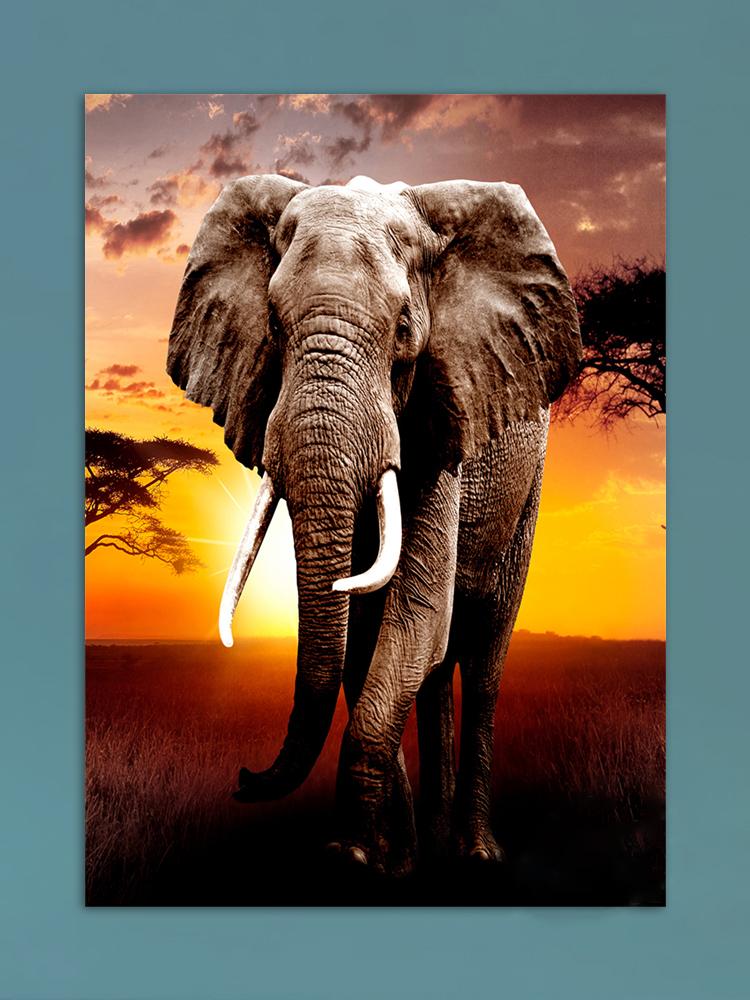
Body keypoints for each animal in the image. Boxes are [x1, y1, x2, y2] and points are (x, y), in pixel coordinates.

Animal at [167, 173, 581, 875]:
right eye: (272, 323)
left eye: (406, 328)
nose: (244, 778)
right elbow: (366, 639)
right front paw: (383, 859)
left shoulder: (441, 423)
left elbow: (413, 616)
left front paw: (353, 855)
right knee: (437, 667)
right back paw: (434, 844)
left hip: (528, 484)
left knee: (482, 651)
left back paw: (475, 853)